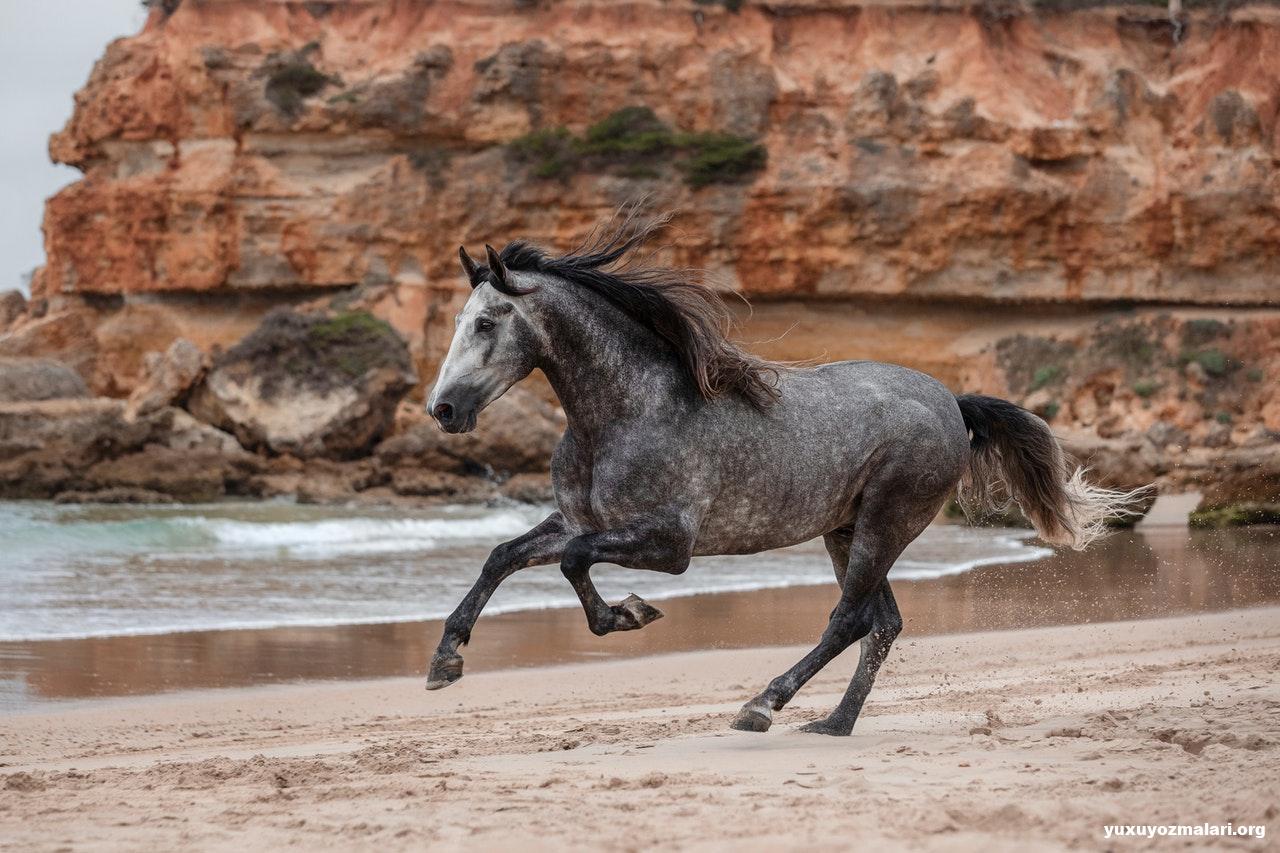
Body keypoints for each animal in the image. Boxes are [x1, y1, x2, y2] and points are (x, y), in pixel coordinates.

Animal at [422, 211, 1141, 732]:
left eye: (486, 322)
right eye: (459, 320)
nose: (443, 408)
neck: (627, 409)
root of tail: (951, 402)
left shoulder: (669, 543)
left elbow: (573, 561)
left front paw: (628, 614)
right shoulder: (581, 518)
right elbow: (504, 554)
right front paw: (445, 660)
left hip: (885, 523)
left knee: (849, 620)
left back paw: (763, 705)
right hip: (846, 529)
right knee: (881, 624)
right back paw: (833, 723)